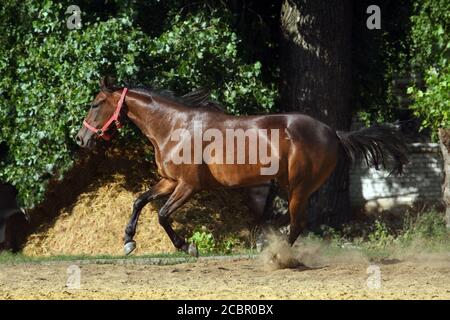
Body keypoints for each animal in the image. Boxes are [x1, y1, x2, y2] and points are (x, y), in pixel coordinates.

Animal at [76, 79, 408, 256]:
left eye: (95, 104)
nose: (81, 138)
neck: (173, 126)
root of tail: (333, 132)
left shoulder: (188, 186)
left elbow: (162, 215)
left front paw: (187, 247)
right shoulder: (169, 181)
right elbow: (139, 201)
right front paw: (128, 241)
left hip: (300, 187)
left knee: (297, 223)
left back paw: (275, 255)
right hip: (289, 186)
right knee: (292, 222)